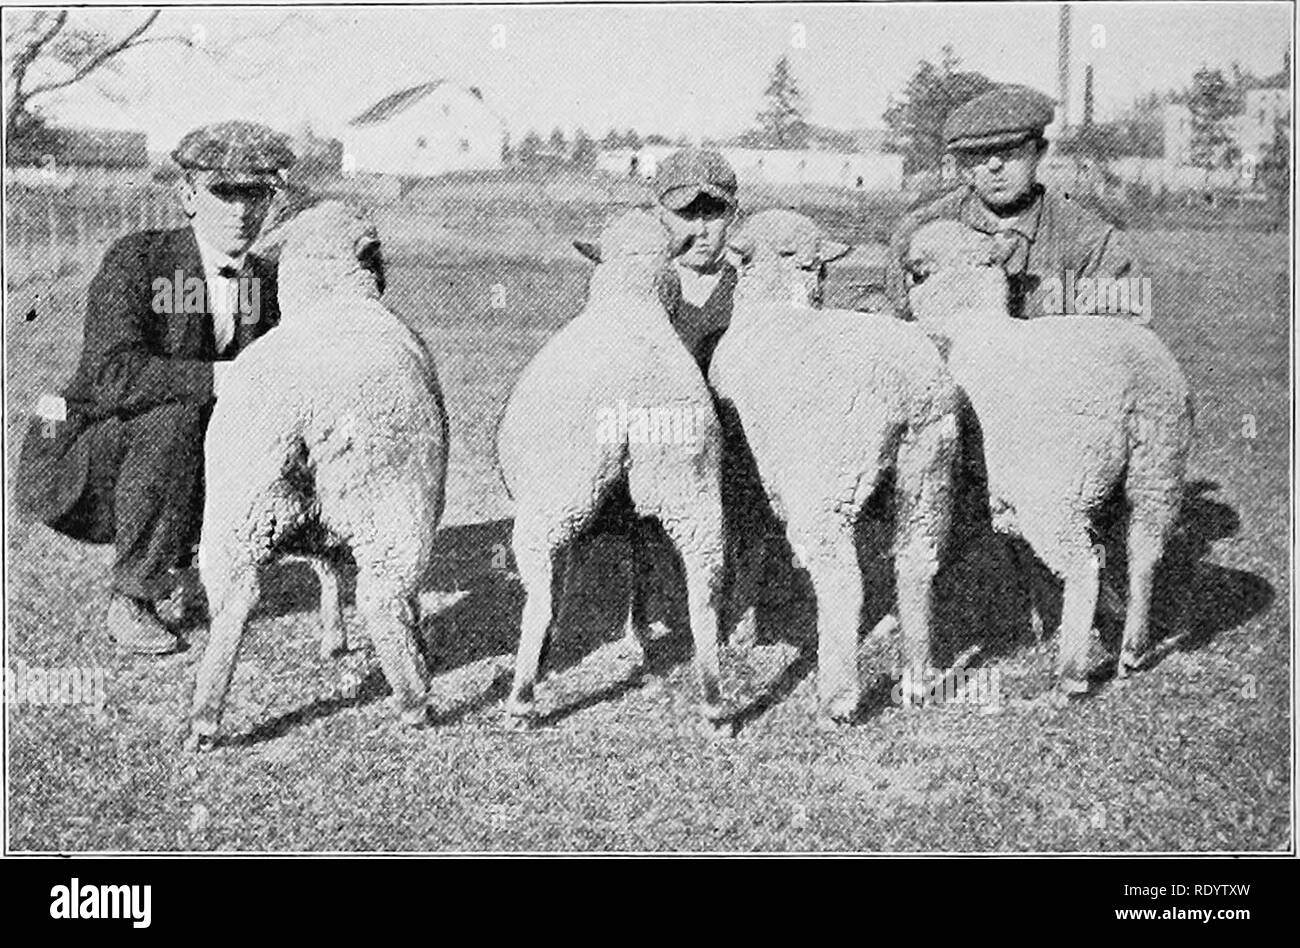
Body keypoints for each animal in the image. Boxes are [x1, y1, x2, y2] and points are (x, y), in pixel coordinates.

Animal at [185, 200, 452, 749]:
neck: (329, 297)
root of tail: (304, 408)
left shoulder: (316, 527)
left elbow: (326, 569)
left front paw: (332, 638)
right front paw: (418, 644)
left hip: (237, 508)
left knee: (233, 600)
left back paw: (204, 716)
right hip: (392, 507)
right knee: (382, 597)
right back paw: (415, 698)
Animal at [491, 205, 733, 723]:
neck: (630, 303)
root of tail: (629, 404)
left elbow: (565, 577)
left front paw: (554, 644)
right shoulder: (635, 512)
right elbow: (639, 565)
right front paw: (636, 632)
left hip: (556, 498)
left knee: (538, 598)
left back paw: (522, 697)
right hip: (688, 488)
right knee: (704, 592)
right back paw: (714, 701)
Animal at [712, 210, 967, 723]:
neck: (774, 302)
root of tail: (904, 386)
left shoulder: (744, 474)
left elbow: (748, 549)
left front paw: (740, 630)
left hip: (823, 488)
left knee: (843, 581)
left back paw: (838, 698)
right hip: (928, 466)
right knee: (917, 561)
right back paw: (916, 679)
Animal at [909, 219, 1190, 697]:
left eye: (915, 275)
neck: (969, 318)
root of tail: (1133, 387)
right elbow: (1021, 553)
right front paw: (1041, 618)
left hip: (1055, 494)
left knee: (1084, 568)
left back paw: (1072, 674)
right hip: (1159, 470)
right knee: (1145, 552)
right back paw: (1132, 649)